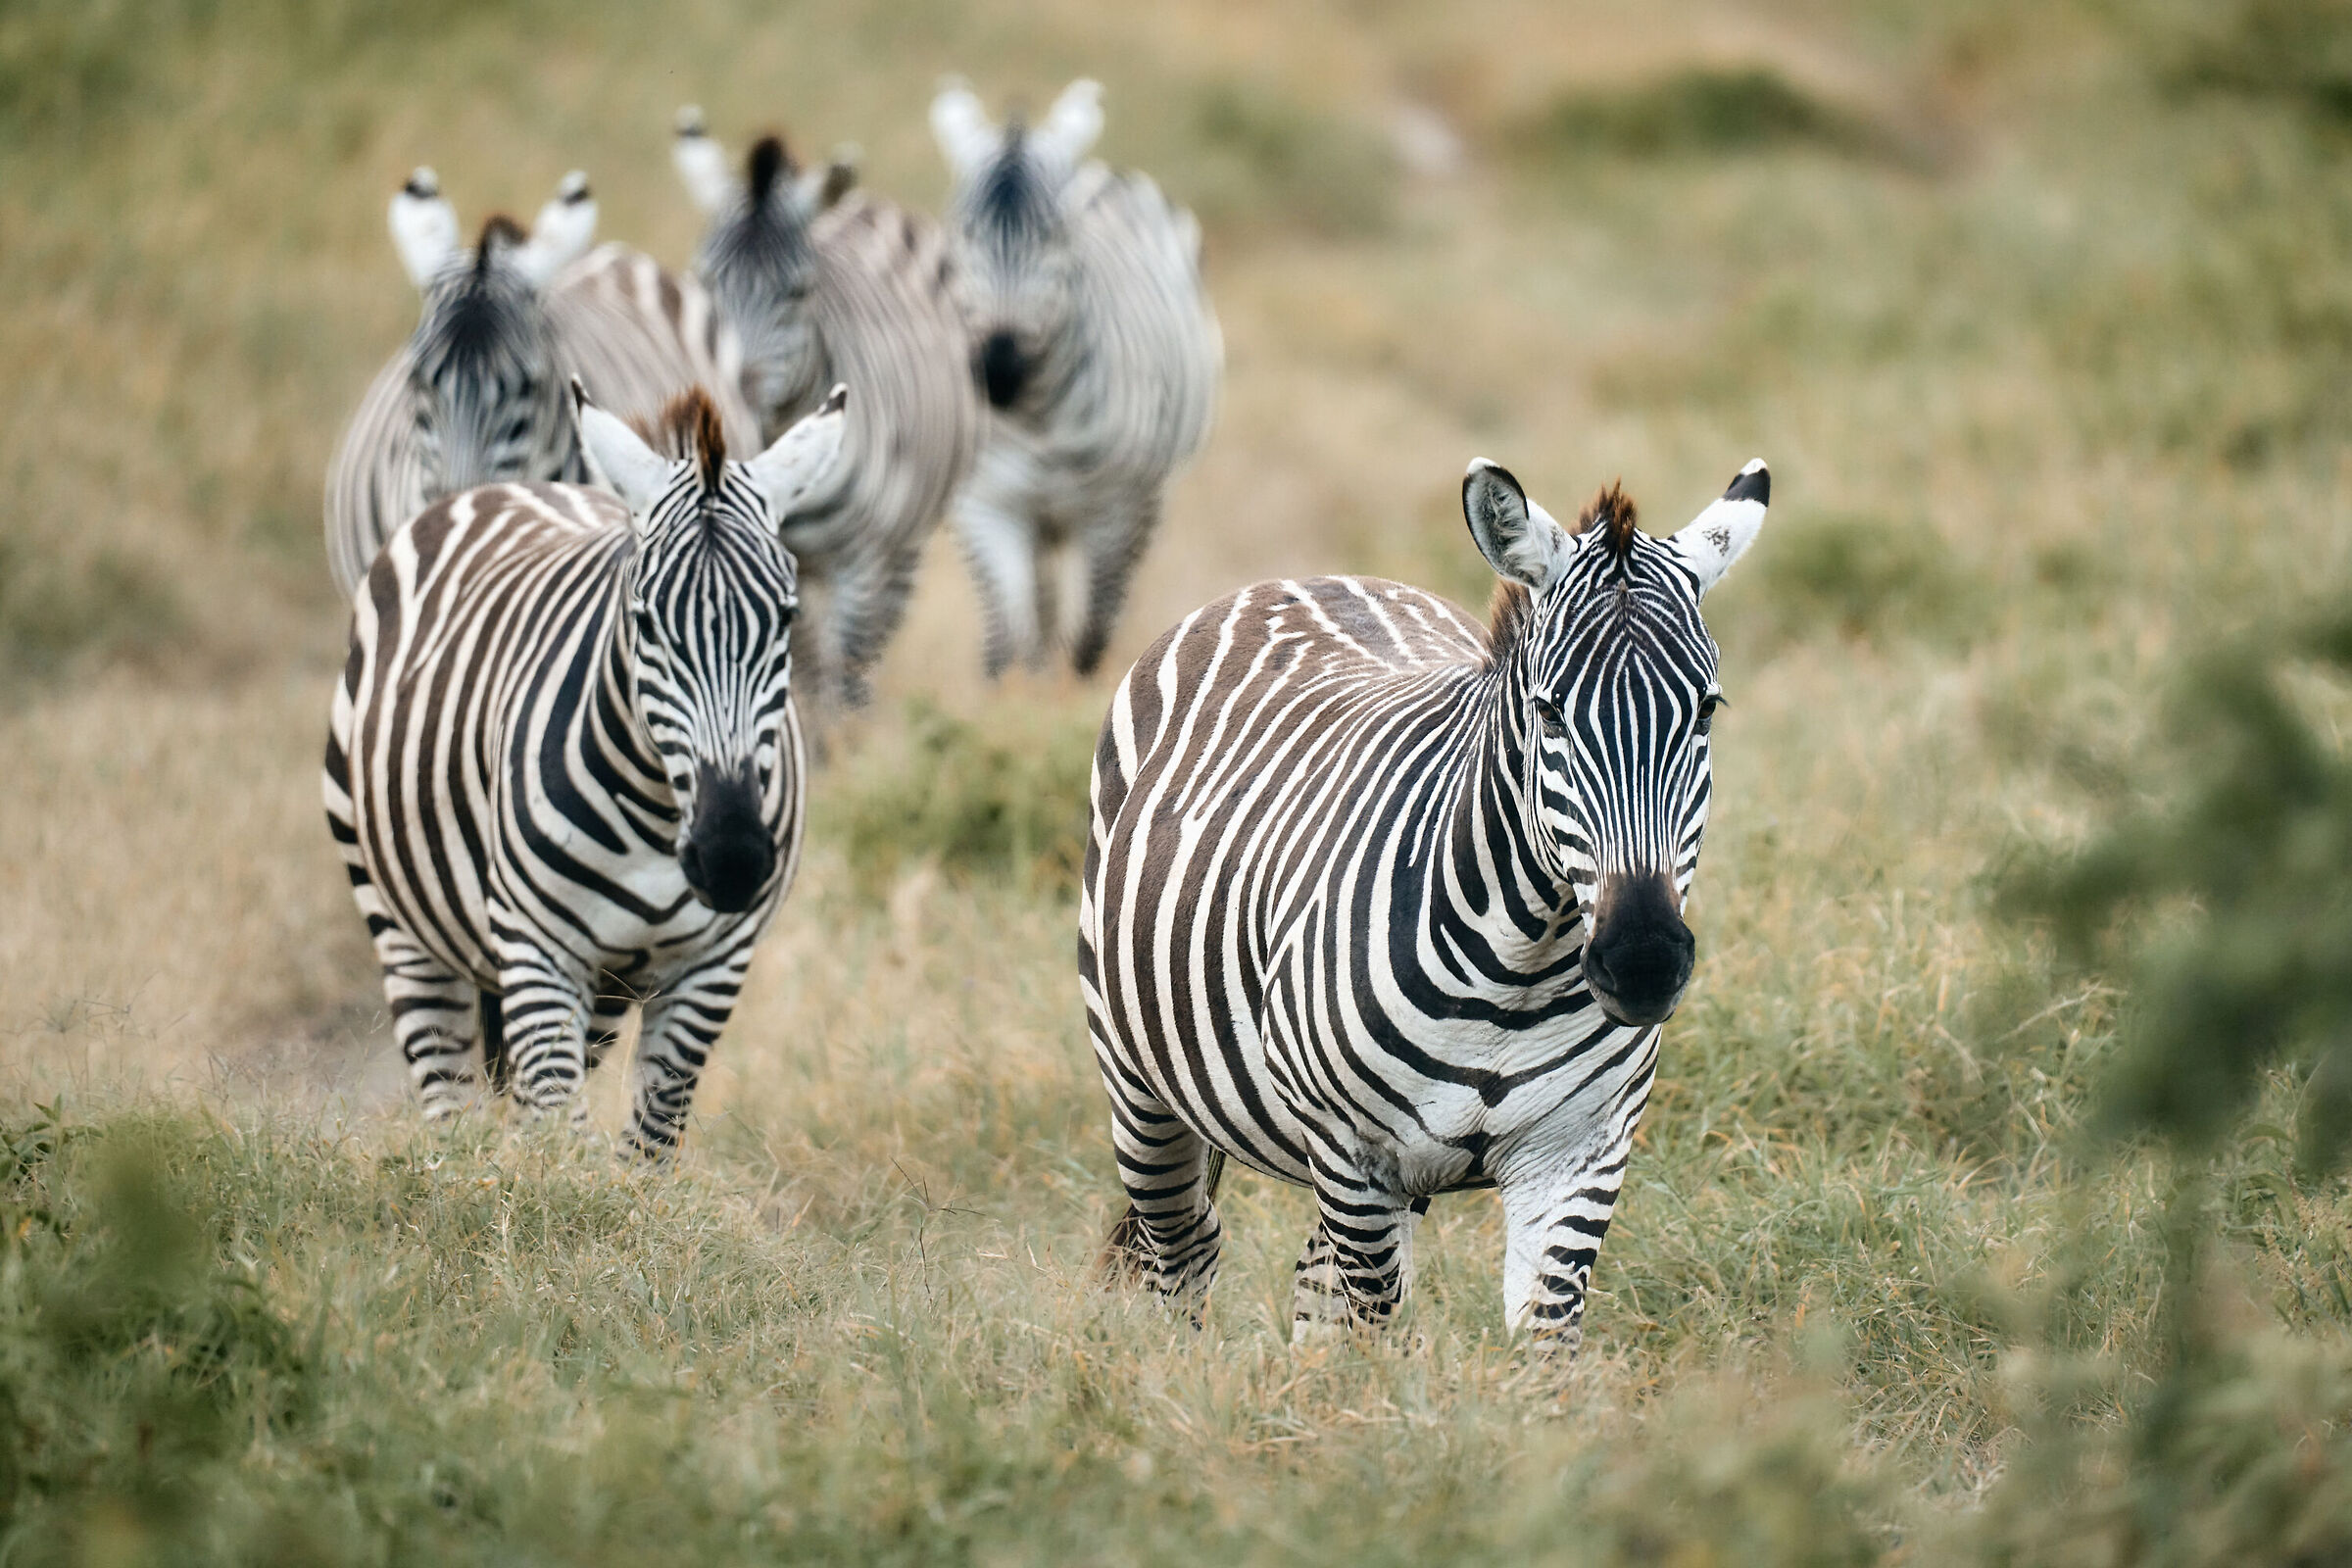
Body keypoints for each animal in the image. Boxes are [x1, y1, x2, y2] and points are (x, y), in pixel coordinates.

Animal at [324, 378, 848, 1155]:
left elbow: (646, 1145)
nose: (732, 858)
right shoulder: (538, 949)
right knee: (450, 1103)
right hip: (400, 921)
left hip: (604, 993)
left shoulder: (715, 966)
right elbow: (558, 1139)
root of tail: (506, 486)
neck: (659, 818)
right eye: (646, 621)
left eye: (785, 619)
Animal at [672, 110, 980, 707]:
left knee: (872, 639)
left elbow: (836, 668)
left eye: (797, 291)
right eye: (706, 284)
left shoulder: (855, 563)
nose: (732, 400)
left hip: (904, 538)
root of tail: (871, 206)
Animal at [930, 78, 1222, 679]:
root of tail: (1097, 170)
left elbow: (1090, 638)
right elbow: (1008, 642)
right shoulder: (984, 506)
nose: (997, 375)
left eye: (1054, 237)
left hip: (1148, 492)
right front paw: (1017, 695)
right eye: (961, 234)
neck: (1036, 419)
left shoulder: (1112, 510)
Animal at [1080, 455, 1771, 1350]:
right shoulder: (1355, 1158)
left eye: (1706, 711)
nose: (1644, 964)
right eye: (1549, 712)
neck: (1521, 972)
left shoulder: (1580, 1155)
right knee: (1185, 1253)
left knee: (1307, 1284)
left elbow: (1546, 1343)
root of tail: (1308, 578)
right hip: (1140, 1085)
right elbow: (1373, 1334)